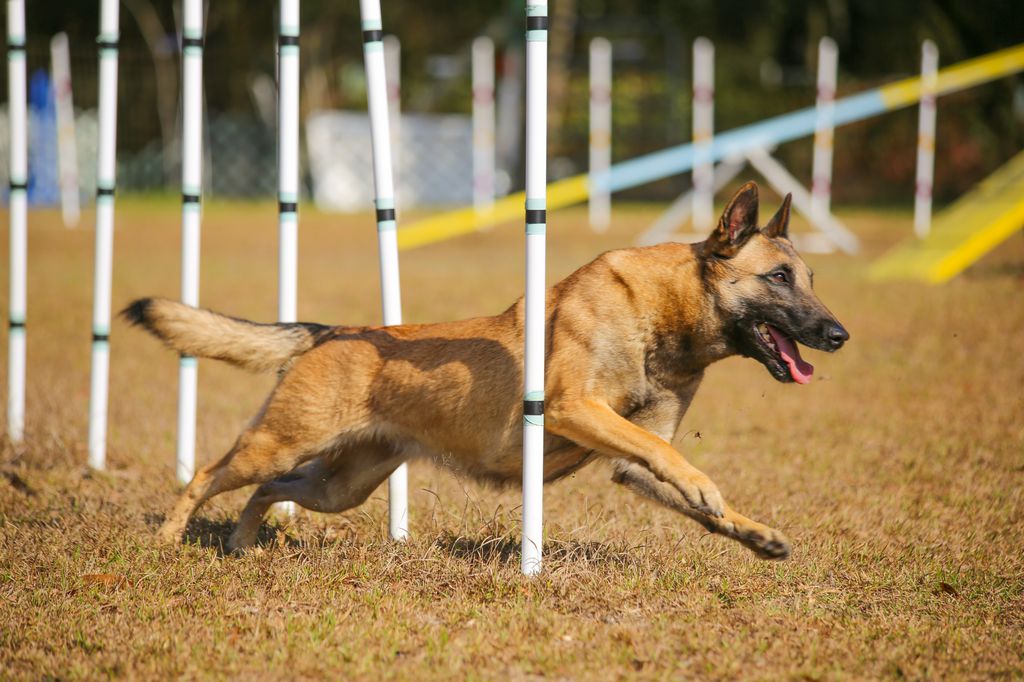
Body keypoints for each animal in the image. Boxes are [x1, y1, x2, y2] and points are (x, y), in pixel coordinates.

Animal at [125, 182, 847, 557]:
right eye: (778, 278)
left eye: (812, 279)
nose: (839, 335)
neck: (660, 314)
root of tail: (333, 332)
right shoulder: (575, 409)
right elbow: (674, 459)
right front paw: (706, 488)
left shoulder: (628, 462)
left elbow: (674, 476)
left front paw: (752, 533)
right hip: (277, 443)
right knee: (206, 476)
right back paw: (167, 539)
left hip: (340, 486)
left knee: (266, 492)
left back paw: (243, 543)